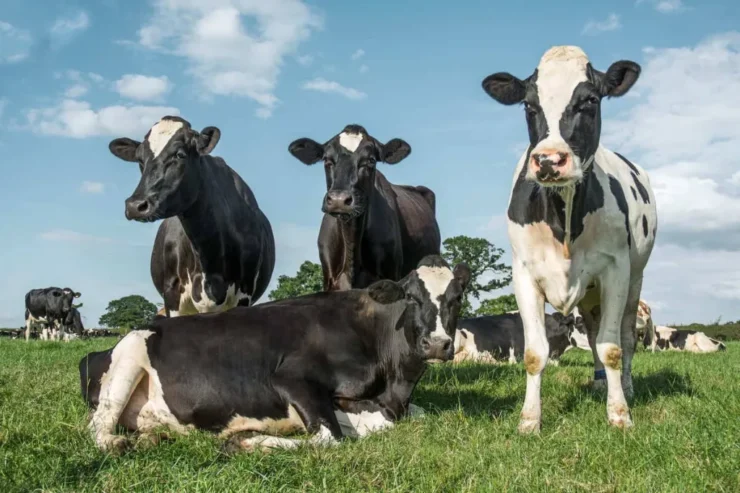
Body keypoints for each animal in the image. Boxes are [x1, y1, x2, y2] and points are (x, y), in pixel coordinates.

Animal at [79, 255, 470, 453]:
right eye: (411, 297)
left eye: (457, 297)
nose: (437, 344)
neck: (396, 385)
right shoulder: (291, 378)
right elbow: (330, 438)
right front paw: (249, 440)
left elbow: (411, 416)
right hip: (129, 357)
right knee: (98, 427)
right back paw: (117, 442)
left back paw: (152, 436)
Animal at [481, 45, 658, 431]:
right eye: (529, 105)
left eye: (590, 100)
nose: (549, 160)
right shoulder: (524, 273)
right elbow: (535, 354)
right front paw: (529, 421)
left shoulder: (616, 270)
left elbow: (612, 348)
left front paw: (619, 414)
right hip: (590, 294)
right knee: (591, 333)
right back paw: (598, 382)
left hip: (634, 280)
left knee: (624, 338)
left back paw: (625, 387)